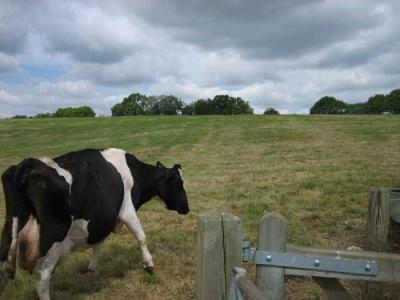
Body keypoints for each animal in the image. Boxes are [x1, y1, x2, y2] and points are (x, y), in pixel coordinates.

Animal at [0, 148, 189, 300]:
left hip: (9, 239)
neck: (134, 173)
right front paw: (148, 264)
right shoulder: (127, 210)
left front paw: (92, 268)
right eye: (179, 184)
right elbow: (141, 236)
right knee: (42, 278)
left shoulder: (101, 220)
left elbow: (98, 243)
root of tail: (32, 164)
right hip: (53, 239)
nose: (187, 208)